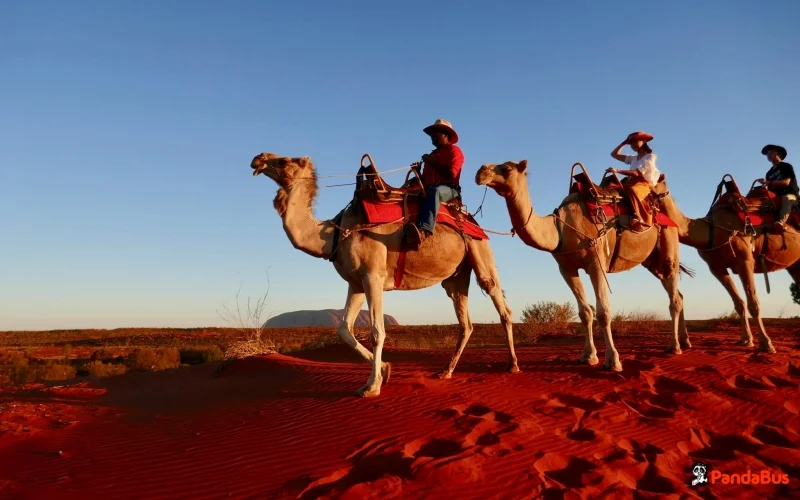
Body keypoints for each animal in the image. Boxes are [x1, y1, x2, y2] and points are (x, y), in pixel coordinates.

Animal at [250, 152, 520, 398]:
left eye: (284, 160)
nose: (258, 158)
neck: (334, 234)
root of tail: (470, 218)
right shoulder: (356, 283)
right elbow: (344, 329)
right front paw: (386, 369)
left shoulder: (373, 277)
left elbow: (377, 331)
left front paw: (372, 386)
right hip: (456, 276)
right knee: (466, 322)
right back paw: (446, 371)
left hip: (480, 251)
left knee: (501, 304)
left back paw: (512, 365)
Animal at [476, 160, 692, 372]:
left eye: (506, 168)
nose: (481, 172)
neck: (561, 229)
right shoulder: (567, 269)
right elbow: (585, 312)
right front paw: (588, 356)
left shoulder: (596, 263)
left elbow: (603, 312)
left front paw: (613, 361)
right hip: (652, 262)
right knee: (678, 294)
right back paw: (685, 341)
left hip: (668, 250)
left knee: (674, 298)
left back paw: (674, 347)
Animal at [652, 174, 796, 354]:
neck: (713, 230)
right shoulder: (716, 267)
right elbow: (739, 303)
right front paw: (747, 340)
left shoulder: (745, 259)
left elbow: (753, 303)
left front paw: (767, 344)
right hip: (794, 265)